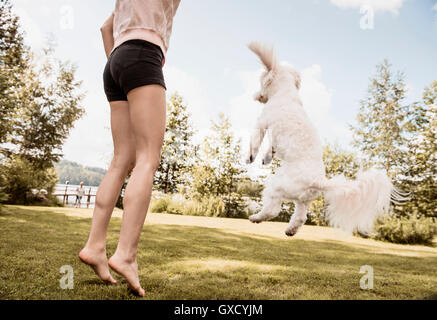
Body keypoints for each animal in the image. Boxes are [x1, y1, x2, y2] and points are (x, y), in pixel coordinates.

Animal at [245, 41, 406, 236]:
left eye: (261, 82)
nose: (256, 95)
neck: (285, 95)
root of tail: (318, 181)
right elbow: (270, 149)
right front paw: (266, 158)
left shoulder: (262, 123)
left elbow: (255, 142)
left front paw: (250, 158)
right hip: (303, 198)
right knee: (301, 217)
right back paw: (290, 230)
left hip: (277, 186)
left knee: (272, 210)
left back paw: (256, 217)